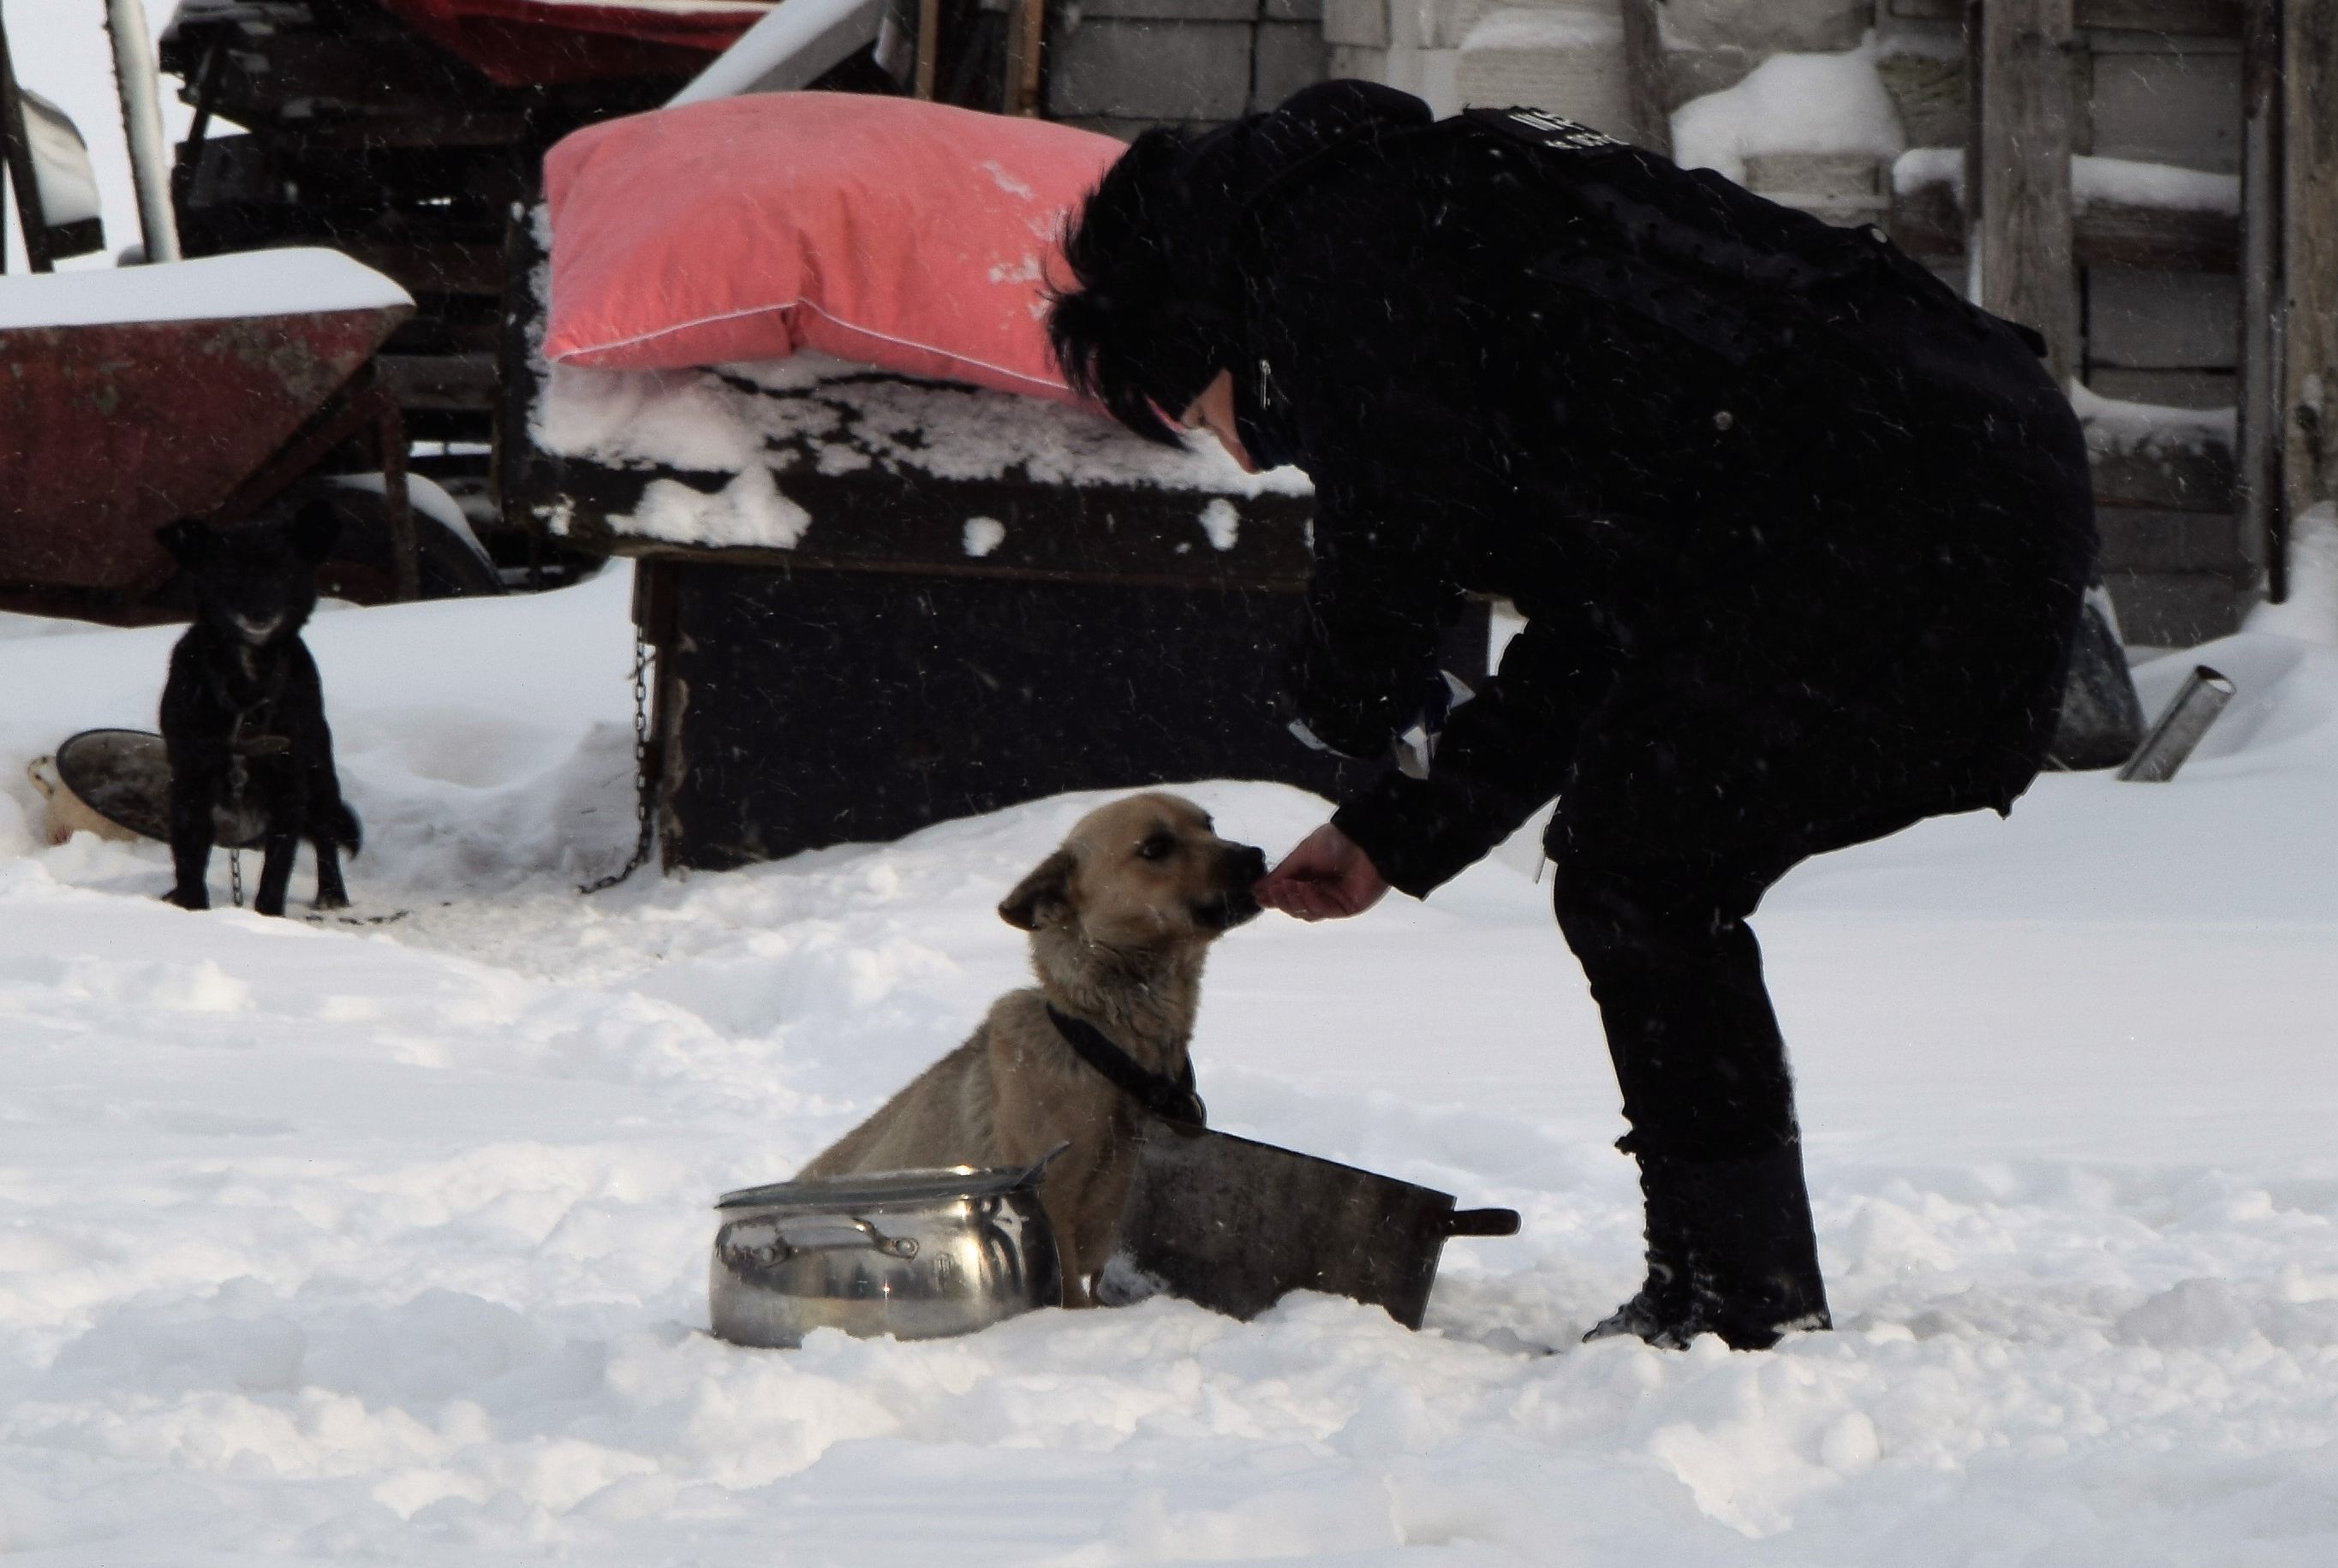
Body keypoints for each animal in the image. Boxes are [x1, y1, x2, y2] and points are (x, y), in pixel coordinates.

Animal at [158, 509, 362, 915]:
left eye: (283, 571)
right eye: (229, 573)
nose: (260, 613)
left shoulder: (290, 785)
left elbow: (278, 866)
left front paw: (268, 915)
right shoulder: (190, 777)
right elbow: (189, 855)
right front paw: (190, 907)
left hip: (320, 771)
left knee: (326, 832)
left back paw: (332, 894)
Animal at [795, 790, 1272, 1309]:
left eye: (1209, 825)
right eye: (1156, 847)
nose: (1256, 856)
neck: (1105, 1051)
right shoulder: (1052, 1208)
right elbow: (1073, 1295)